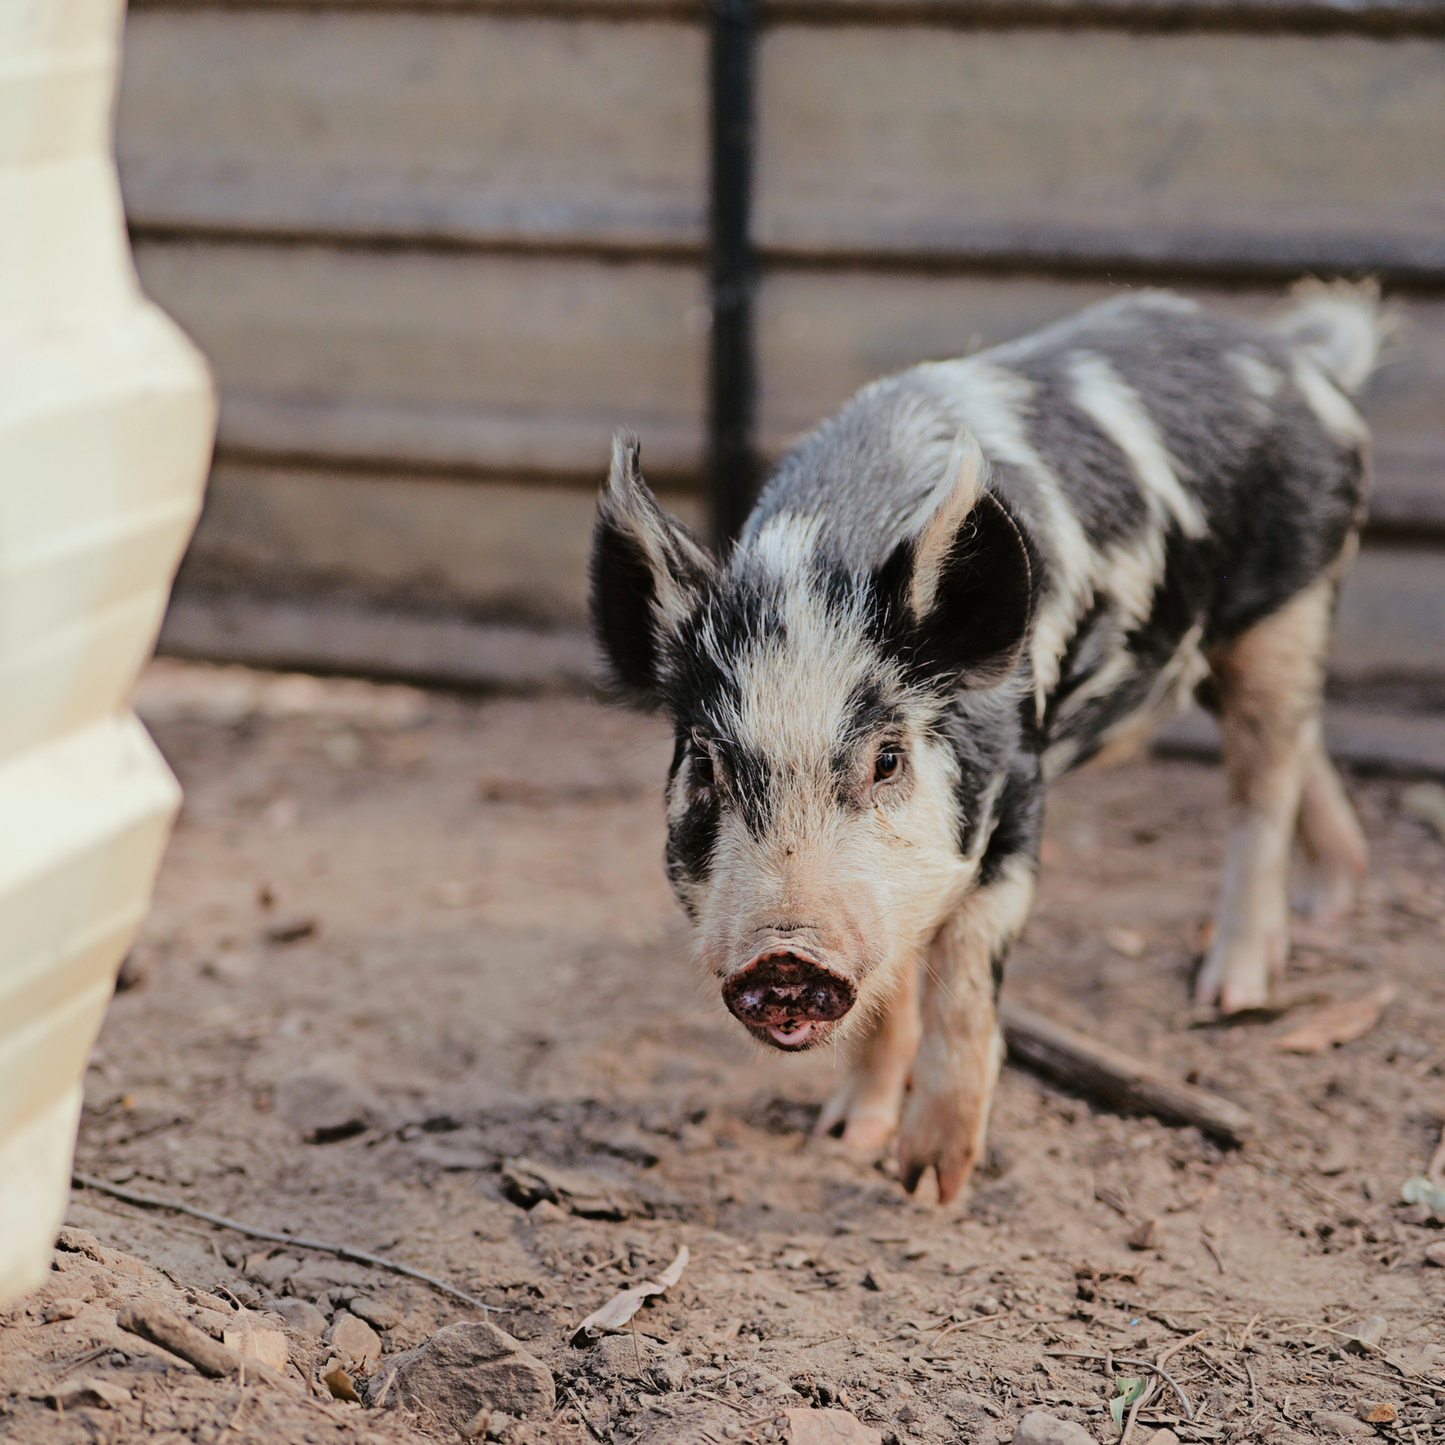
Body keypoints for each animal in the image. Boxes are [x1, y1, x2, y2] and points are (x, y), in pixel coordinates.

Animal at [589, 283, 1382, 1201]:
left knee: (1265, 779)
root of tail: (1296, 355)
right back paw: (1326, 902)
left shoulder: (1017, 791)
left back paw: (1228, 993)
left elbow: (965, 978)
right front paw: (844, 1136)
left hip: (1292, 607)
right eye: (705, 763)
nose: (786, 951)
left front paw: (928, 1185)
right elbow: (892, 981)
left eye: (887, 759)